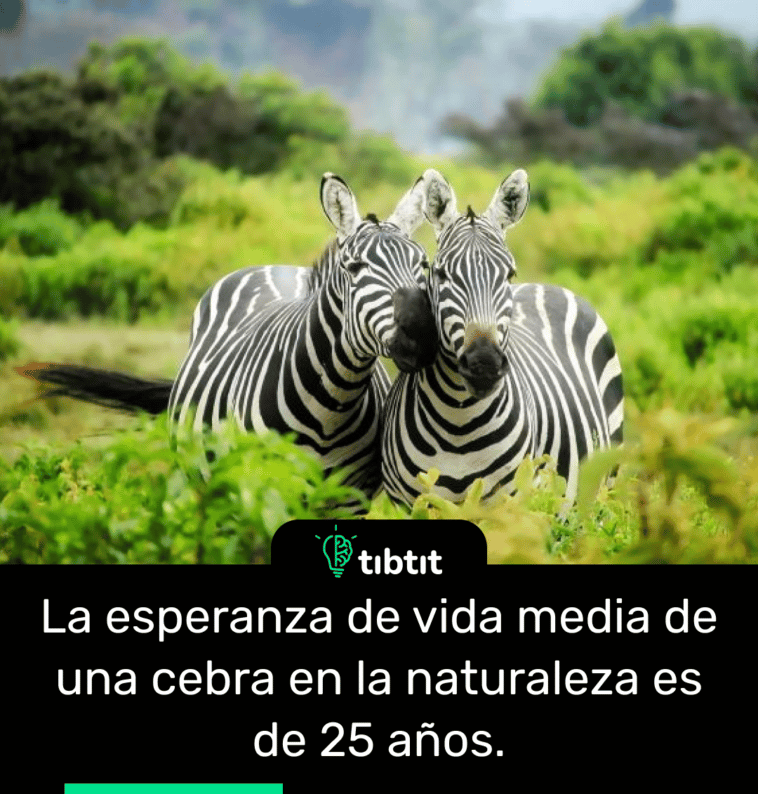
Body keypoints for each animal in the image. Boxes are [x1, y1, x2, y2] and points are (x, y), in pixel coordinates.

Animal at [18, 173, 437, 504]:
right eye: (354, 268)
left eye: (423, 264)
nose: (421, 333)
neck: (331, 406)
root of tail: (274, 266)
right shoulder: (262, 488)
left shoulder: (348, 499)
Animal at [381, 168, 624, 507]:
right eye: (440, 274)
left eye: (509, 274)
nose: (484, 364)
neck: (458, 423)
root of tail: (547, 285)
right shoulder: (409, 503)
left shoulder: (507, 504)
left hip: (603, 485)